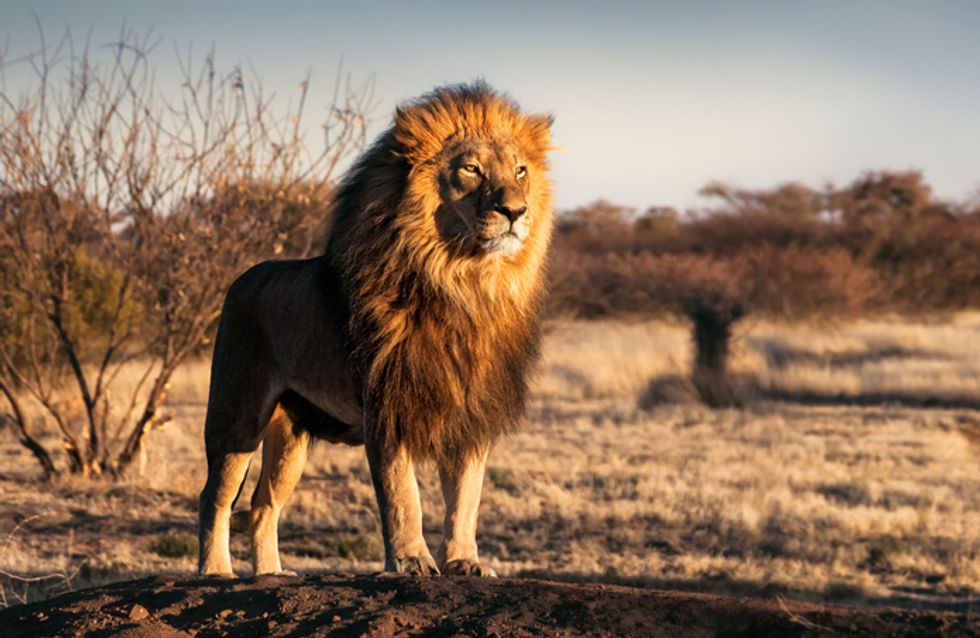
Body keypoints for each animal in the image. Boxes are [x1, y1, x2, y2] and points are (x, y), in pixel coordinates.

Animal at [195, 82, 556, 576]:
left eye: (520, 170)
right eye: (471, 168)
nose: (516, 210)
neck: (464, 283)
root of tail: (242, 277)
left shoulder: (470, 412)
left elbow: (466, 498)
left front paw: (464, 561)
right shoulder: (387, 405)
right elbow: (403, 495)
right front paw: (411, 561)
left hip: (291, 435)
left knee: (263, 504)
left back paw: (271, 574)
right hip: (237, 416)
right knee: (215, 496)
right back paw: (215, 571)